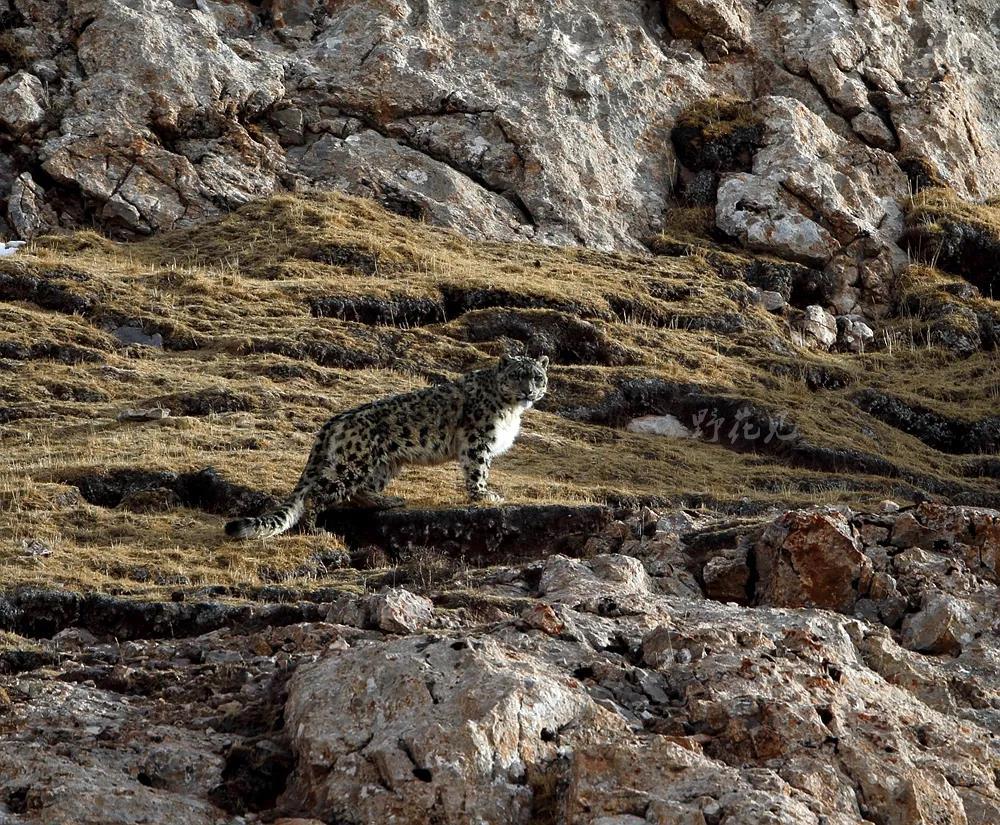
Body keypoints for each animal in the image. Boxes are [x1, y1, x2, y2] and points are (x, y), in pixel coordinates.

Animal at [224, 354, 552, 540]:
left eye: (537, 376)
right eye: (516, 376)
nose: (529, 391)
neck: (511, 410)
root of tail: (334, 420)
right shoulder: (477, 439)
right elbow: (477, 469)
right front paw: (483, 495)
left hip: (384, 464)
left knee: (357, 492)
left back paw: (386, 501)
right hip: (353, 464)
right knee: (319, 492)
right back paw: (316, 529)